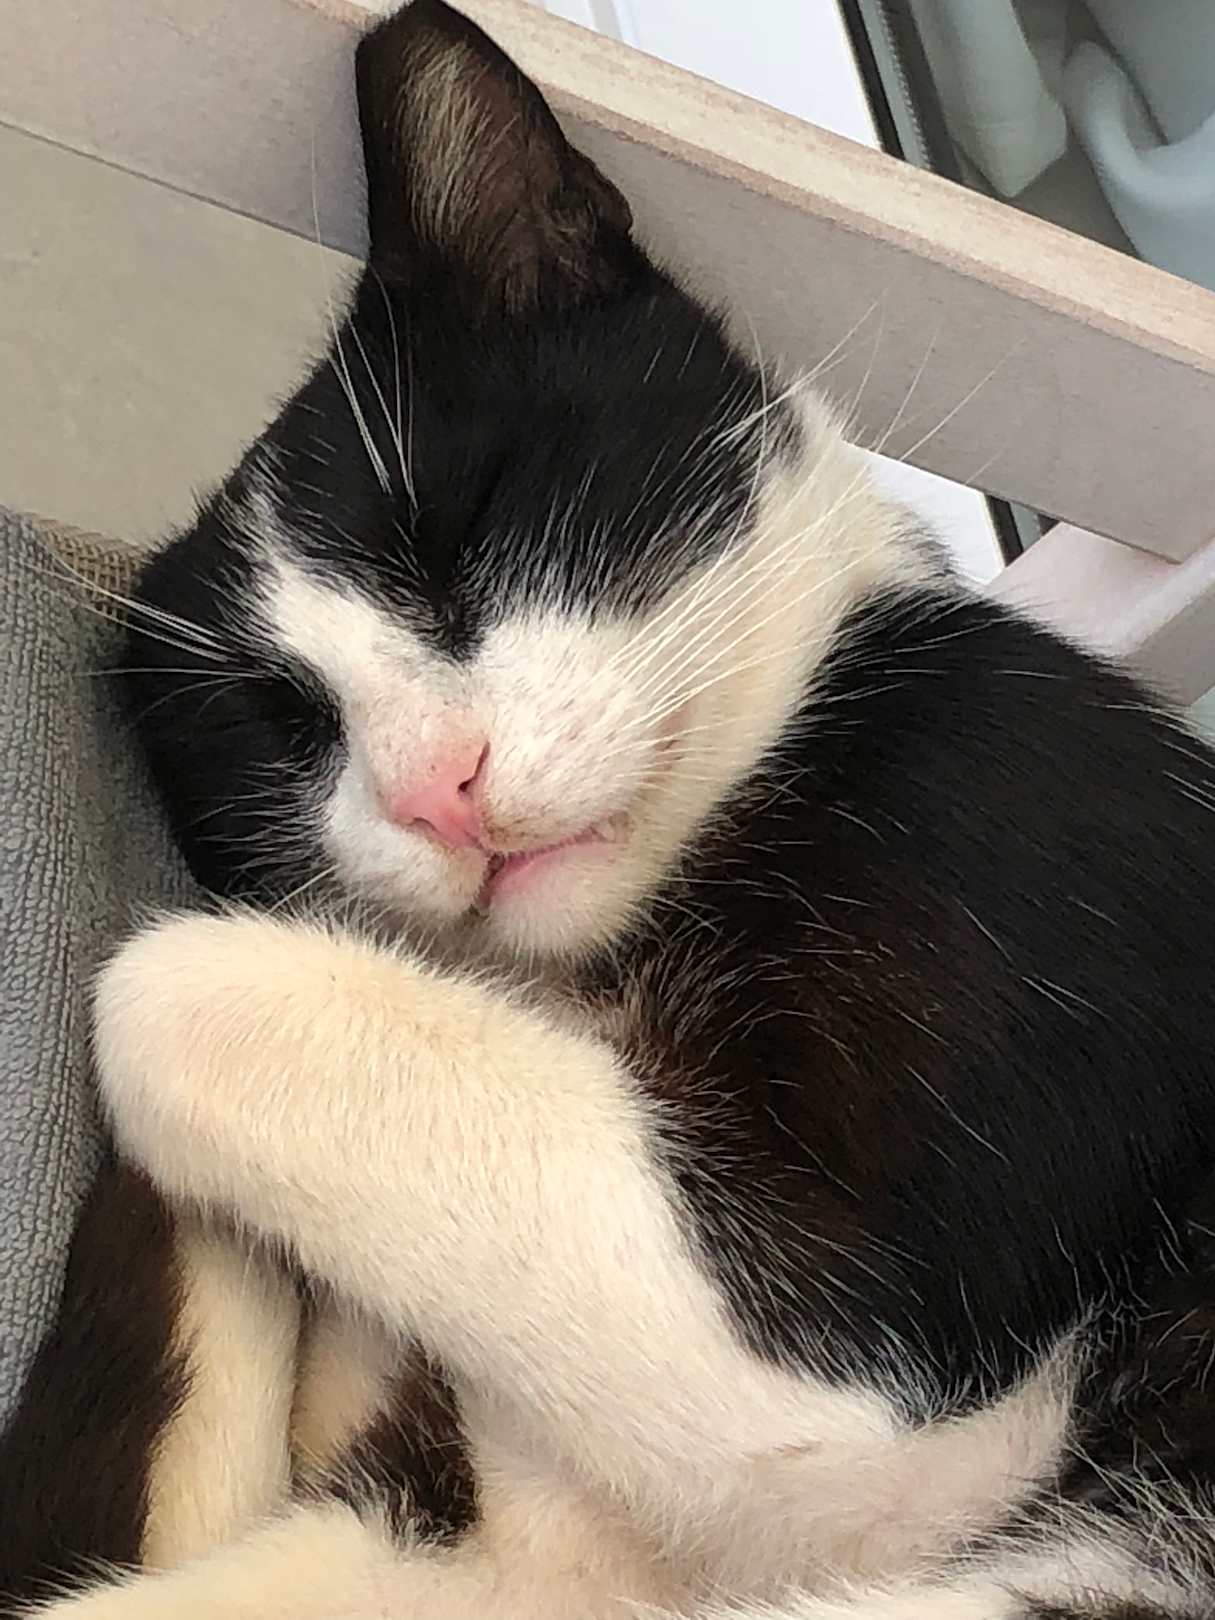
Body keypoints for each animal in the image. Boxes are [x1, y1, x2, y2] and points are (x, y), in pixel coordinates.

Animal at [5, 1, 1215, 1616]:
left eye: (457, 533)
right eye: (279, 725)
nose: (438, 789)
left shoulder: (889, 1337)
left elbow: (155, 986)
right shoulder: (506, 1545)